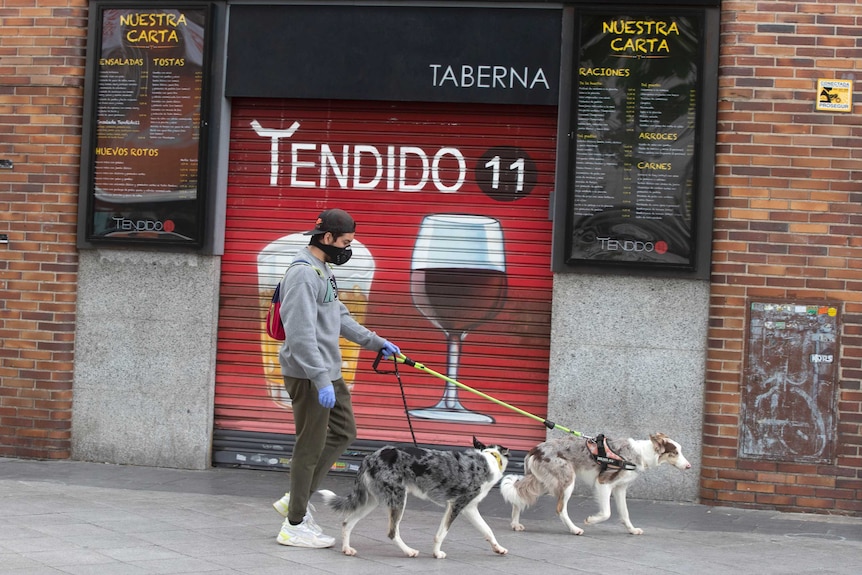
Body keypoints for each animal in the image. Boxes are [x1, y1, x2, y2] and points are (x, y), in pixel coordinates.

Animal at [316, 438, 506, 560]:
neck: (488, 460)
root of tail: (370, 457)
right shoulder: (456, 505)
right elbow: (441, 534)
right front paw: (437, 554)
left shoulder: (469, 509)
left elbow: (487, 530)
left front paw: (499, 548)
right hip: (398, 499)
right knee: (392, 532)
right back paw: (409, 551)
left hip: (370, 501)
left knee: (347, 523)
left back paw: (346, 549)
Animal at [500, 436, 696, 536]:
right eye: (675, 453)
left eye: (680, 451)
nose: (689, 466)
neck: (640, 454)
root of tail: (535, 449)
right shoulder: (603, 483)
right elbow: (607, 513)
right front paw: (591, 520)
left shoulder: (620, 488)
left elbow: (625, 513)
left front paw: (631, 529)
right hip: (566, 481)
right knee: (560, 509)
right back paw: (574, 529)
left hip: (542, 482)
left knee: (518, 497)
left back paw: (515, 524)